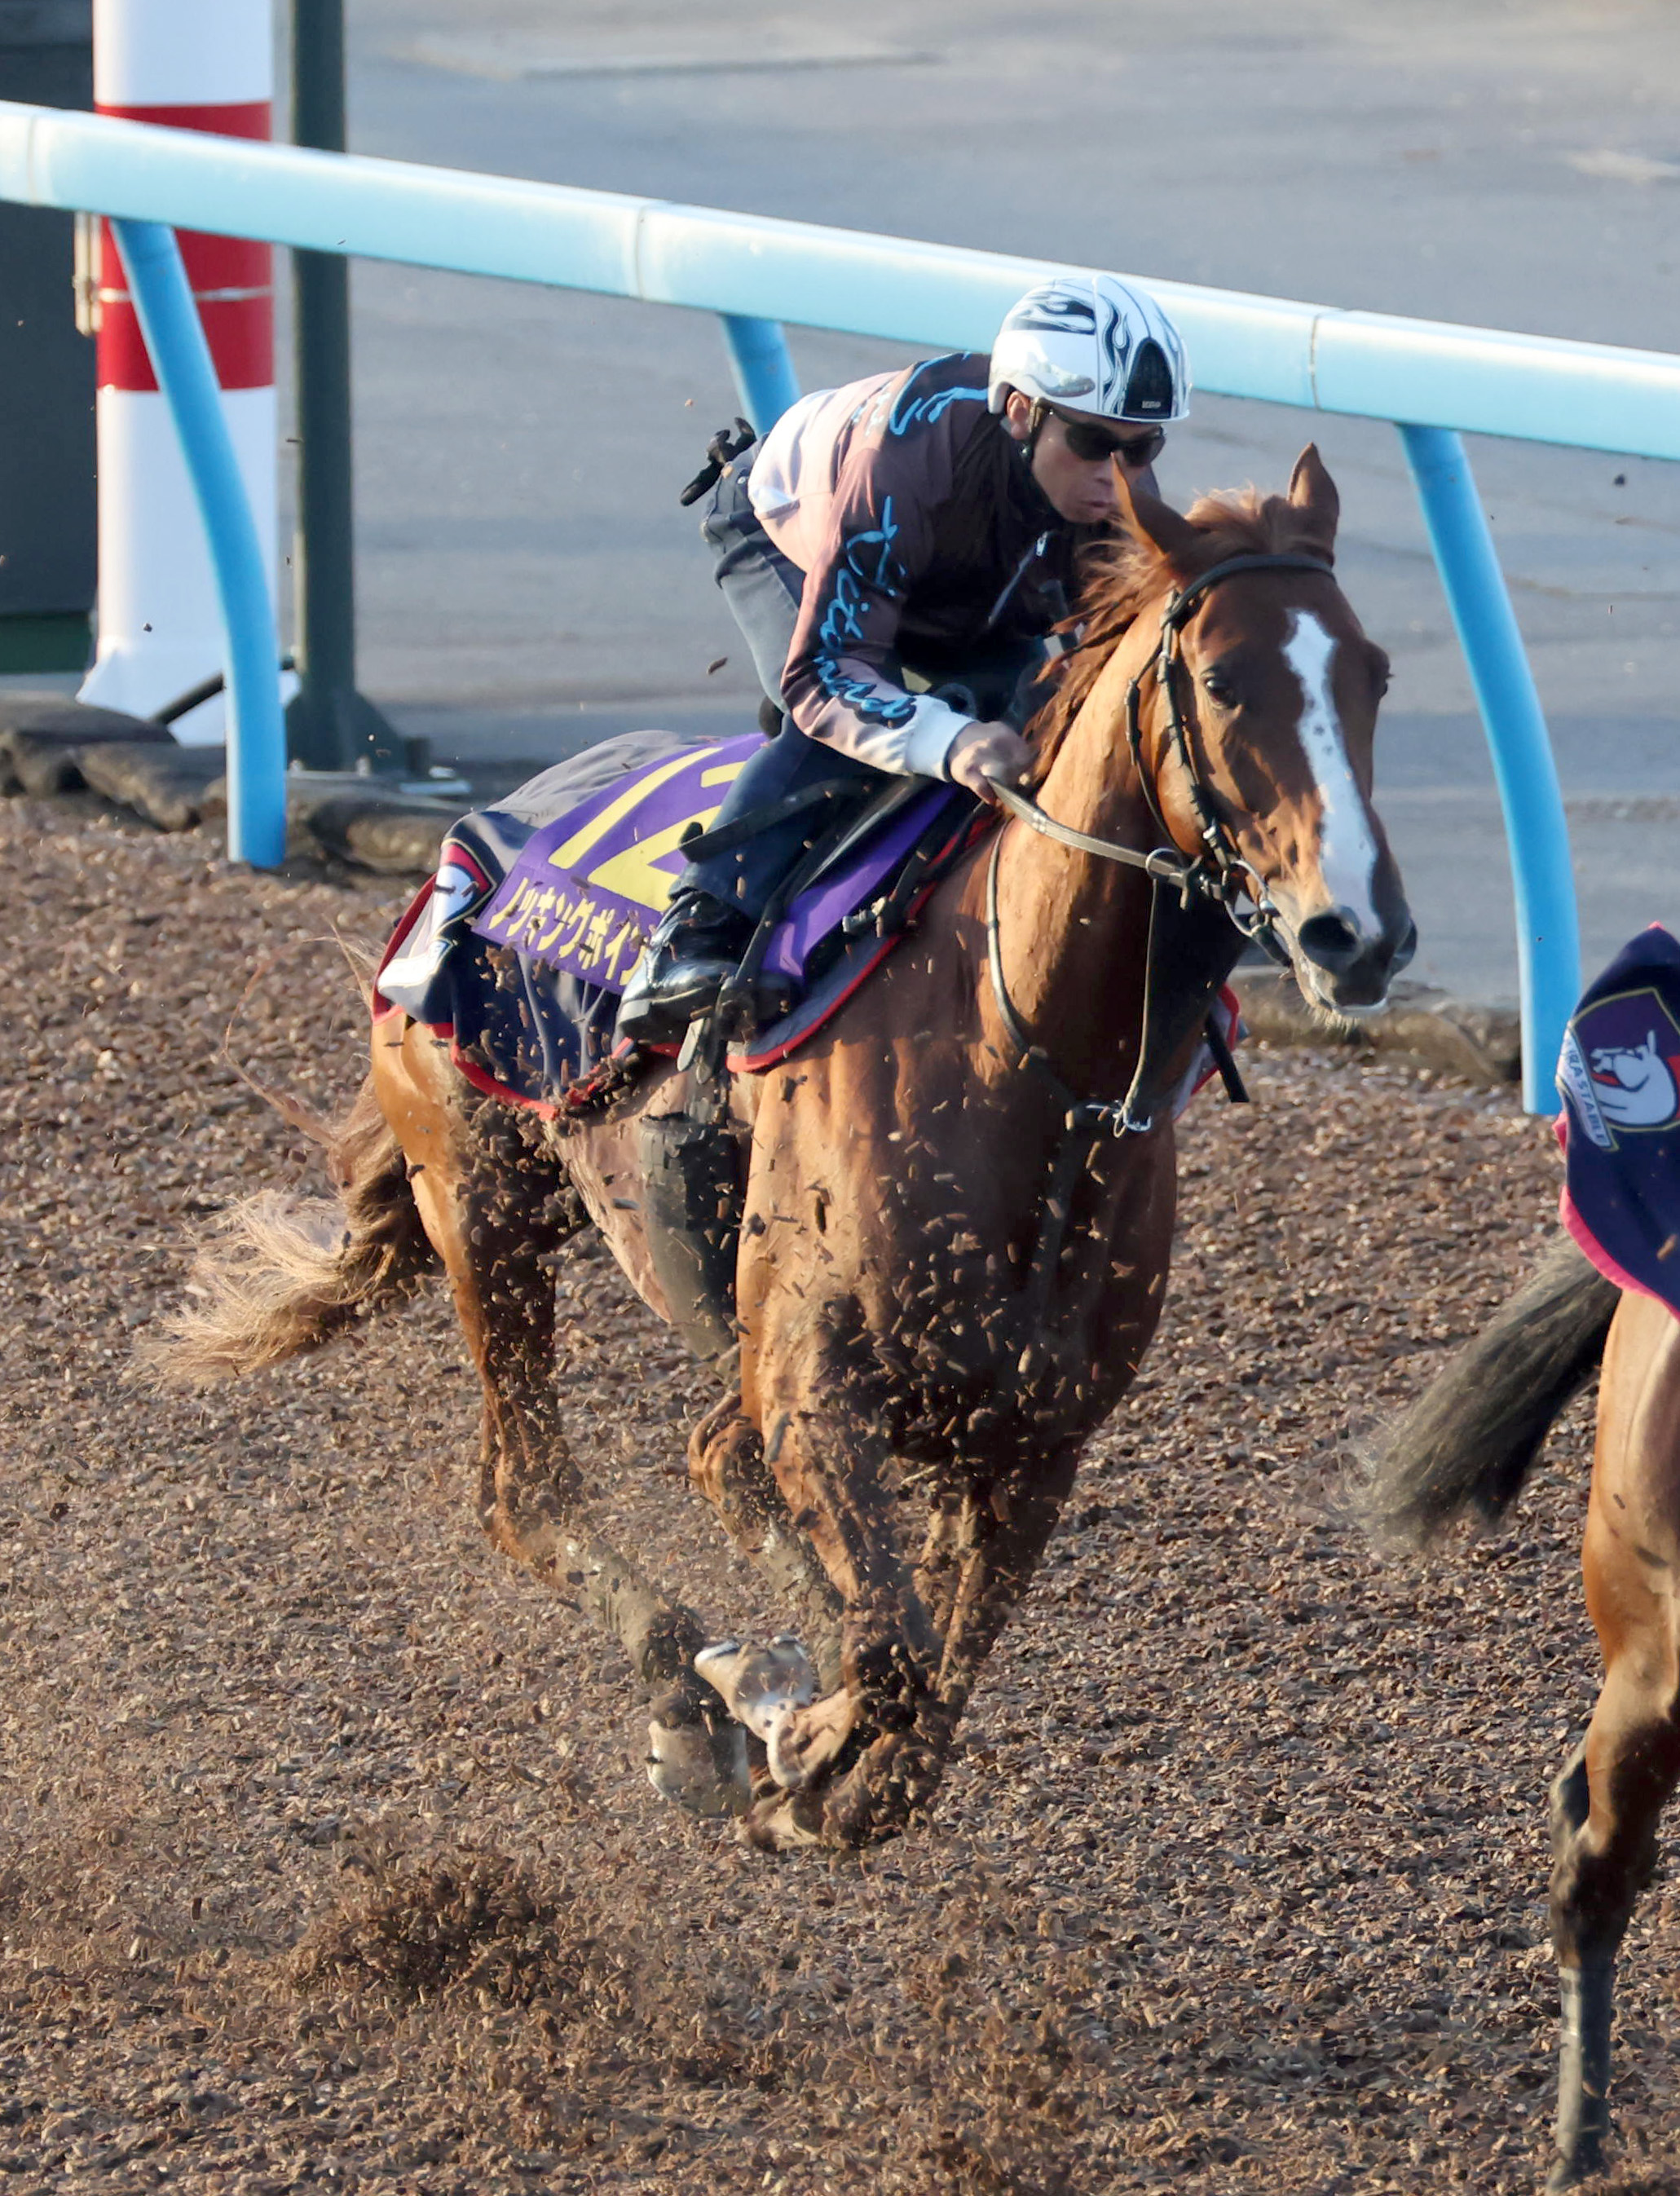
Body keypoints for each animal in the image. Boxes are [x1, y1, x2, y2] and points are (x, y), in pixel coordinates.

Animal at [160, 459, 1414, 1853]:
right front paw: (788, 1715)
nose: (1358, 932)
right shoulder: (818, 1382)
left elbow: (918, 1699)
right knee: (529, 1490)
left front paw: (813, 1742)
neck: (1026, 1052)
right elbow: (891, 1653)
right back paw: (693, 1686)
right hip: (484, 1202)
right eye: (1227, 679)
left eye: (1373, 672)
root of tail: (467, 846)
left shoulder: (1032, 1442)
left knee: (712, 1454)